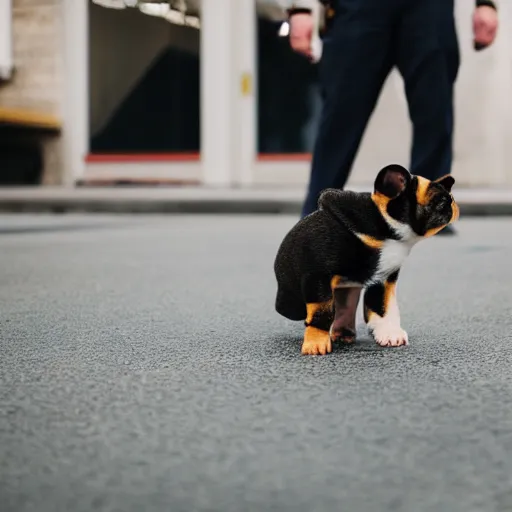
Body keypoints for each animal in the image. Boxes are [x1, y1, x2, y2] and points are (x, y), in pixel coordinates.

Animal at [274, 164, 458, 356]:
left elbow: (382, 306)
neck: (384, 228)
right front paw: (316, 343)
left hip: (348, 287)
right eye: (440, 202)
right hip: (293, 302)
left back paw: (344, 332)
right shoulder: (318, 276)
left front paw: (389, 333)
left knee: (345, 305)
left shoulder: (383, 278)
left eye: (449, 199)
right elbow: (321, 310)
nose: (452, 203)